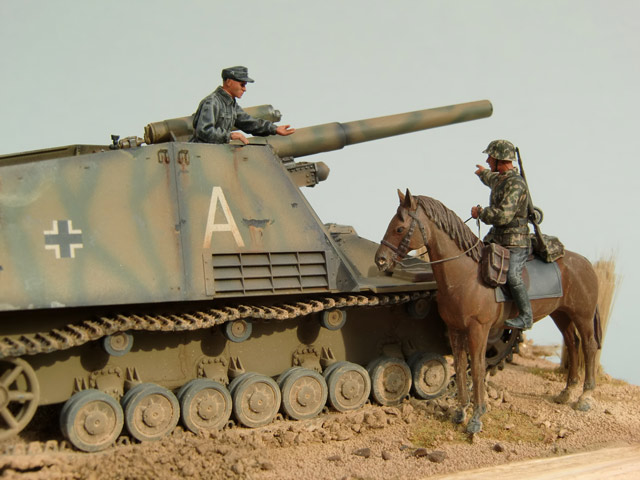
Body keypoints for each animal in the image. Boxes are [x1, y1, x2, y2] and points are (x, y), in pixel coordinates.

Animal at [376, 191, 600, 436]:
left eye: (399, 228)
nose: (380, 260)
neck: (465, 276)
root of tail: (585, 263)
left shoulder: (479, 330)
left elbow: (477, 368)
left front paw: (476, 417)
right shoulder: (455, 330)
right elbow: (460, 366)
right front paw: (461, 411)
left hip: (583, 316)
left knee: (589, 346)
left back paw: (585, 397)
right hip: (562, 315)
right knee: (573, 343)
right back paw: (567, 392)